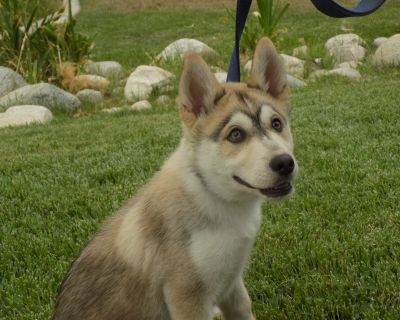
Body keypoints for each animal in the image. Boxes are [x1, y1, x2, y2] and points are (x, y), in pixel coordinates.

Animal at [52, 38, 296, 320]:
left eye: (276, 124)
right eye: (235, 135)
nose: (285, 163)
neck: (216, 199)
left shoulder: (233, 285)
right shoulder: (188, 297)